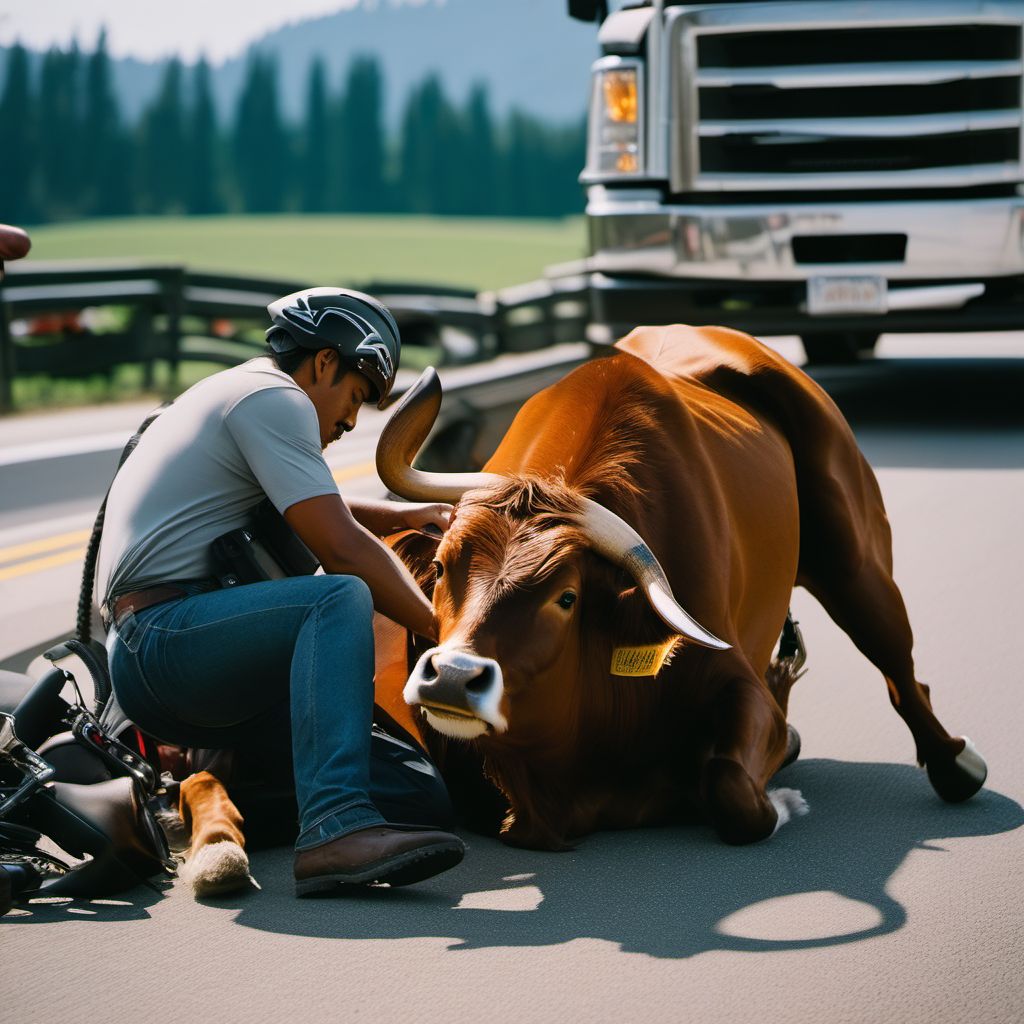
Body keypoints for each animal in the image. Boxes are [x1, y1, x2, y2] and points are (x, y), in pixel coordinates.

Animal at [374, 325, 983, 847]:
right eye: (443, 568)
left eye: (566, 598)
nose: (454, 678)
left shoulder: (737, 682)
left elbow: (732, 785)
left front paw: (781, 795)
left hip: (855, 557)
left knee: (895, 661)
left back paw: (955, 763)